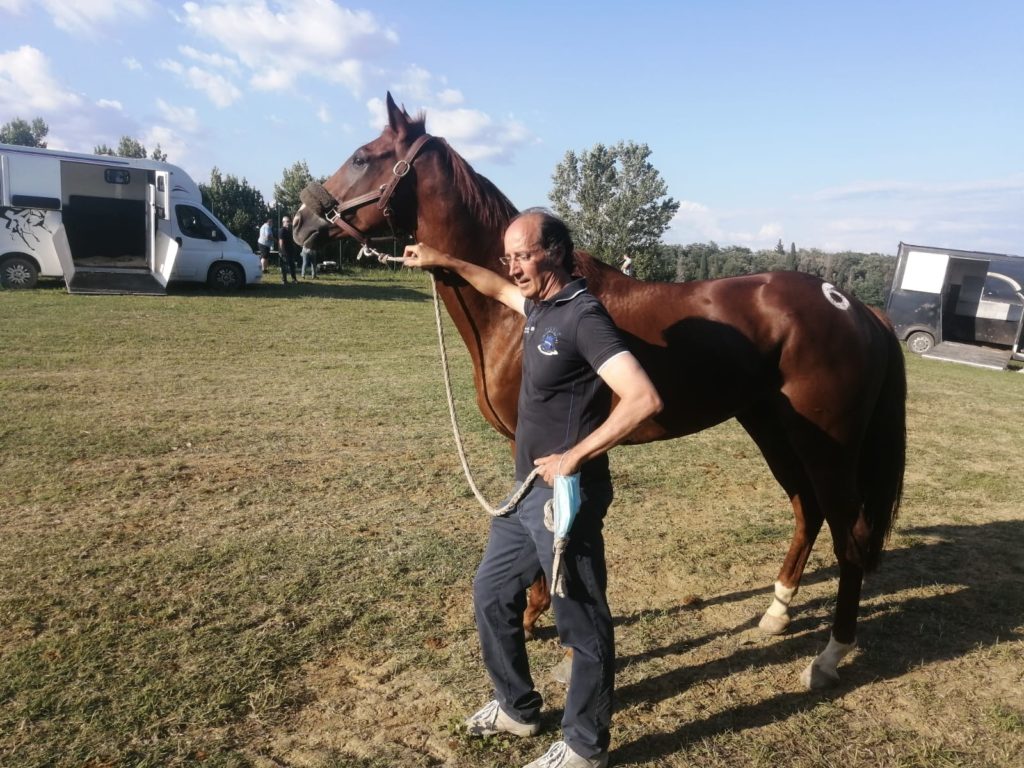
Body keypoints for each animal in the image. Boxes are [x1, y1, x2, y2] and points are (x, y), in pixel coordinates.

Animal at [292, 93, 906, 690]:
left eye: (362, 157)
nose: (299, 220)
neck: (518, 311)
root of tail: (854, 306)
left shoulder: (535, 445)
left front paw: (533, 612)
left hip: (829, 447)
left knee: (849, 533)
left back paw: (829, 656)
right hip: (771, 428)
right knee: (807, 510)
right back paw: (777, 612)